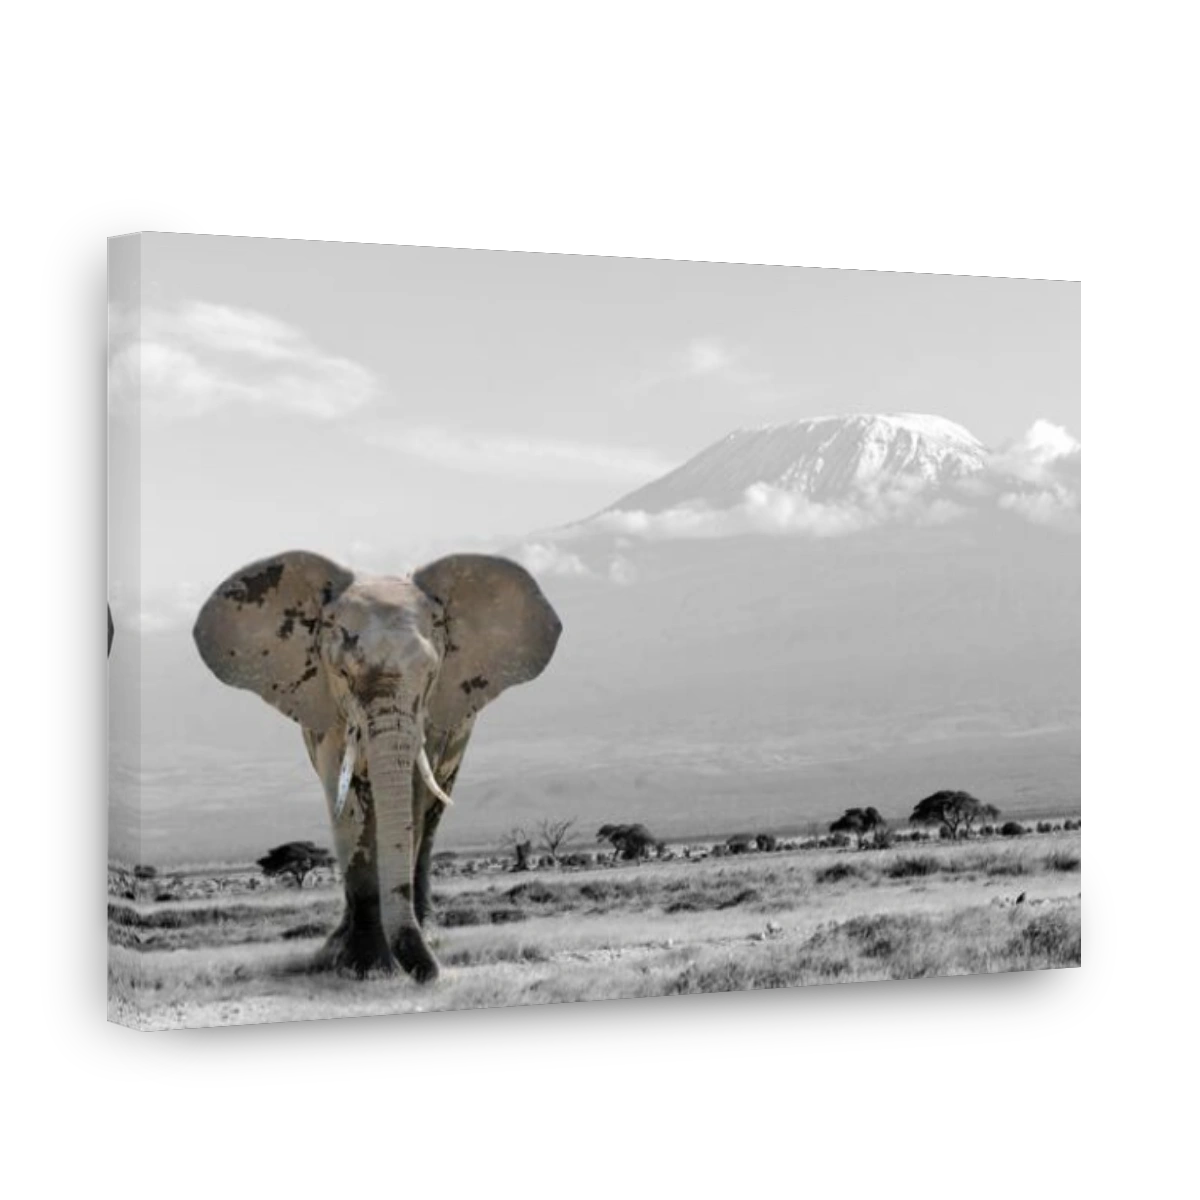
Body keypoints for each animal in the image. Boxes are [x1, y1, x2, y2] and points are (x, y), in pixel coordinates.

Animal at [192, 550, 562, 983]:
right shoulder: (329, 715)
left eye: (431, 674)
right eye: (342, 673)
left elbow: (414, 799)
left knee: (431, 821)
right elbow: (345, 802)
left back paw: (431, 935)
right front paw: (358, 965)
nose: (432, 975)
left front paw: (385, 960)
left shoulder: (430, 715)